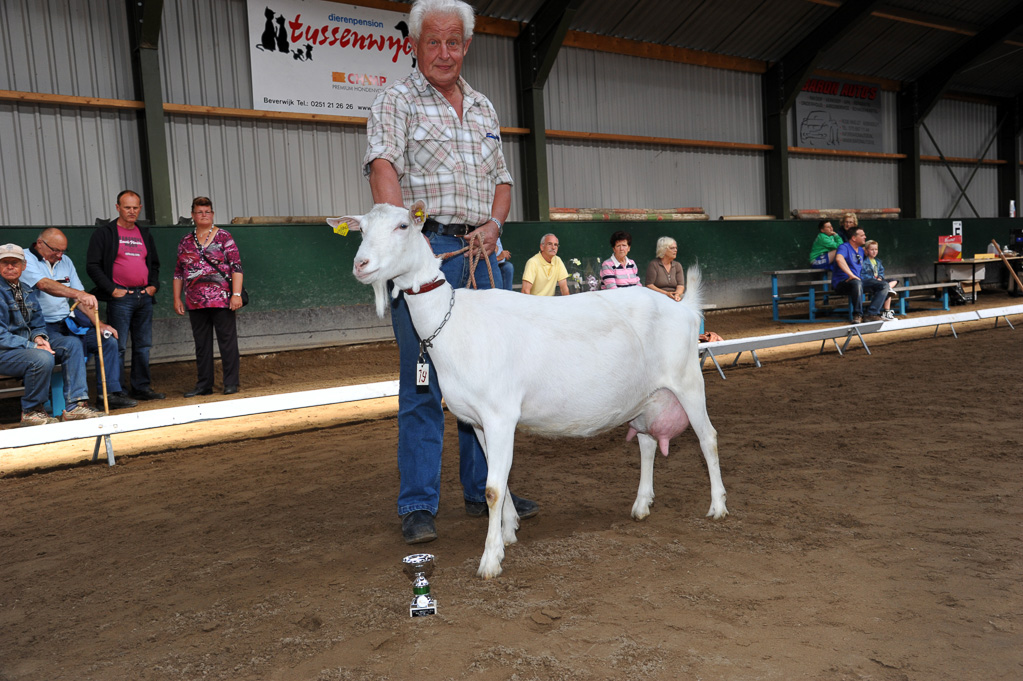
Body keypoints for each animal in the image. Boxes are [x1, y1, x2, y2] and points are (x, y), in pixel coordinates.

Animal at [329, 201, 728, 576]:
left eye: (402, 226)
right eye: (361, 229)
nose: (361, 264)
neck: (454, 320)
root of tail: (684, 307)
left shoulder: (500, 415)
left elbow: (491, 489)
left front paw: (490, 560)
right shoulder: (478, 422)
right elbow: (499, 480)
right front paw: (508, 532)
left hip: (688, 381)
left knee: (708, 437)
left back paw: (718, 506)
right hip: (646, 397)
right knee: (647, 444)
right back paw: (642, 505)